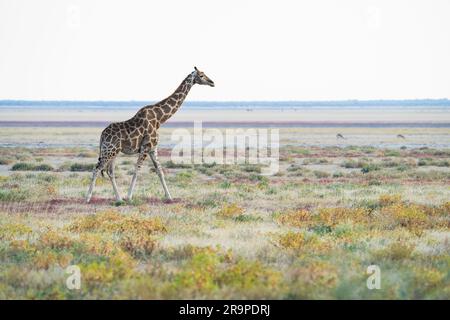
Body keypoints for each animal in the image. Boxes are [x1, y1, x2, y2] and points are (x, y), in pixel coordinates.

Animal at [87, 67, 216, 202]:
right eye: (201, 75)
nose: (212, 82)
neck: (159, 119)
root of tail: (102, 135)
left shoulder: (153, 148)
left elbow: (159, 170)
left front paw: (169, 197)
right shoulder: (146, 146)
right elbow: (137, 169)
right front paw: (129, 196)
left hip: (114, 152)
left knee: (110, 171)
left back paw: (118, 199)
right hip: (109, 150)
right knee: (96, 168)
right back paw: (88, 197)